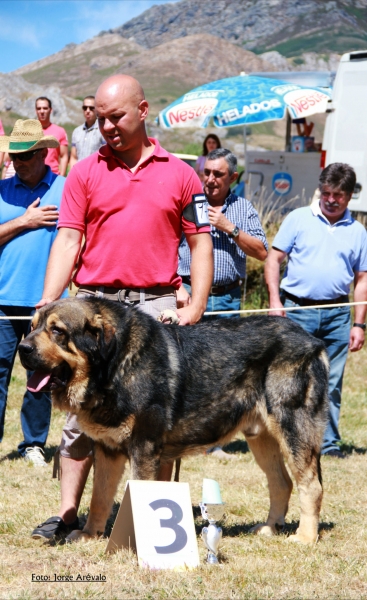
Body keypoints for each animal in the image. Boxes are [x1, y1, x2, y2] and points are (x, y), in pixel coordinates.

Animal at [18, 298, 330, 548]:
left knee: (310, 485)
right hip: (261, 437)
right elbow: (99, 498)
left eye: (57, 331)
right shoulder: (107, 449)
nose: (23, 348)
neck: (114, 365)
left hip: (293, 429)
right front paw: (90, 534)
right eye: (32, 326)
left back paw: (305, 537)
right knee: (282, 482)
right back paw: (270, 528)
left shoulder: (143, 447)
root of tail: (313, 342)